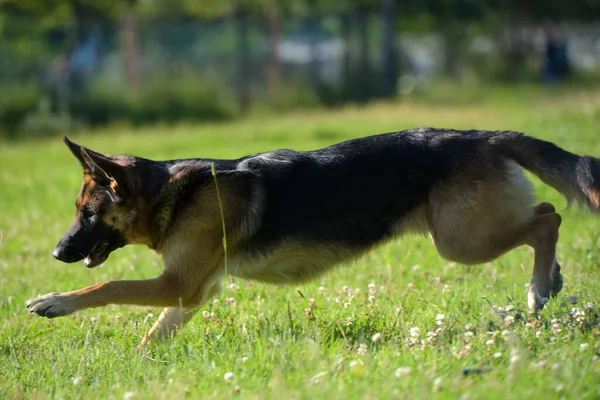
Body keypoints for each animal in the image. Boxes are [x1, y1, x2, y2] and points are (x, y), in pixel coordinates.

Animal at [25, 129, 596, 346]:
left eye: (87, 213)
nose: (56, 252)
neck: (171, 193)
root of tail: (483, 136)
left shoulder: (178, 284)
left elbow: (107, 288)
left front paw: (54, 300)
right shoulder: (190, 292)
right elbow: (155, 332)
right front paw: (142, 365)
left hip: (460, 241)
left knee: (548, 219)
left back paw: (539, 288)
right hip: (469, 234)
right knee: (545, 214)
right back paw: (551, 280)